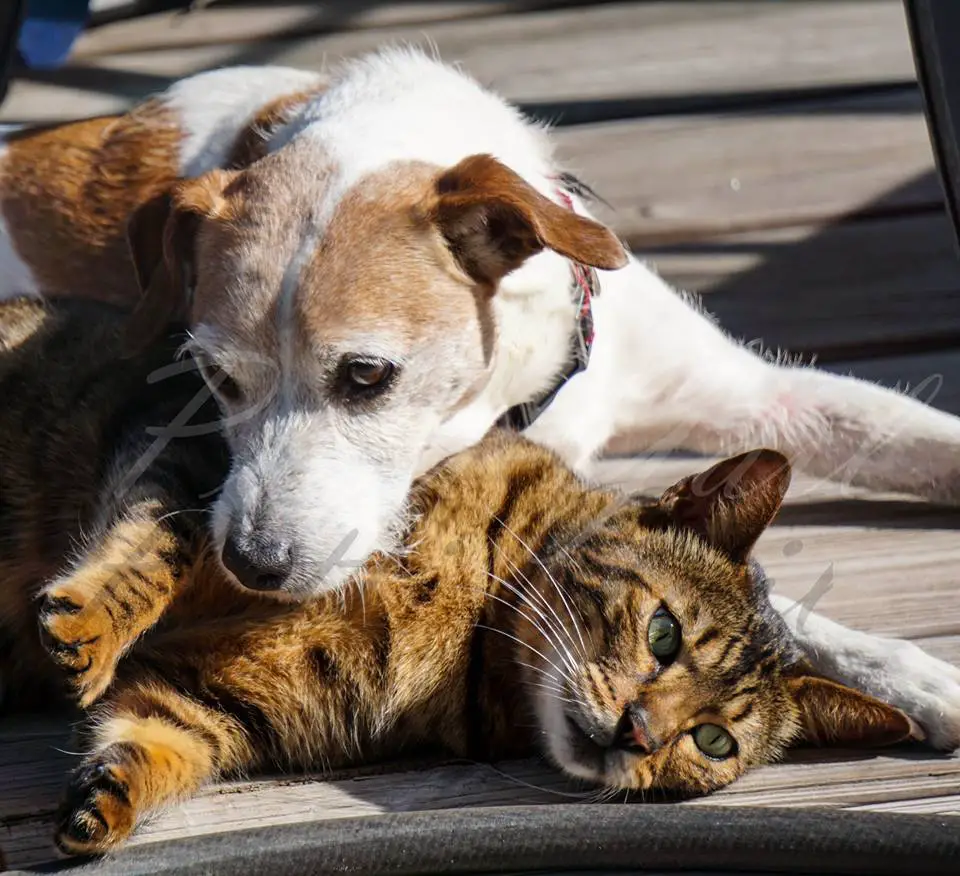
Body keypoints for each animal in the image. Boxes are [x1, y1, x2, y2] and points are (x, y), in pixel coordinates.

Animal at [0, 296, 912, 856]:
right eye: (663, 634)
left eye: (713, 741)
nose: (638, 735)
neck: (469, 622)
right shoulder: (205, 471)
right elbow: (153, 552)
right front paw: (87, 630)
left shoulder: (215, 700)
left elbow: (152, 741)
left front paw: (105, 804)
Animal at [1, 48, 960, 744]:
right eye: (214, 377)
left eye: (367, 375)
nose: (253, 564)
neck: (527, 384)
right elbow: (747, 591)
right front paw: (911, 675)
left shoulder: (749, 390)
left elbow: (908, 439)